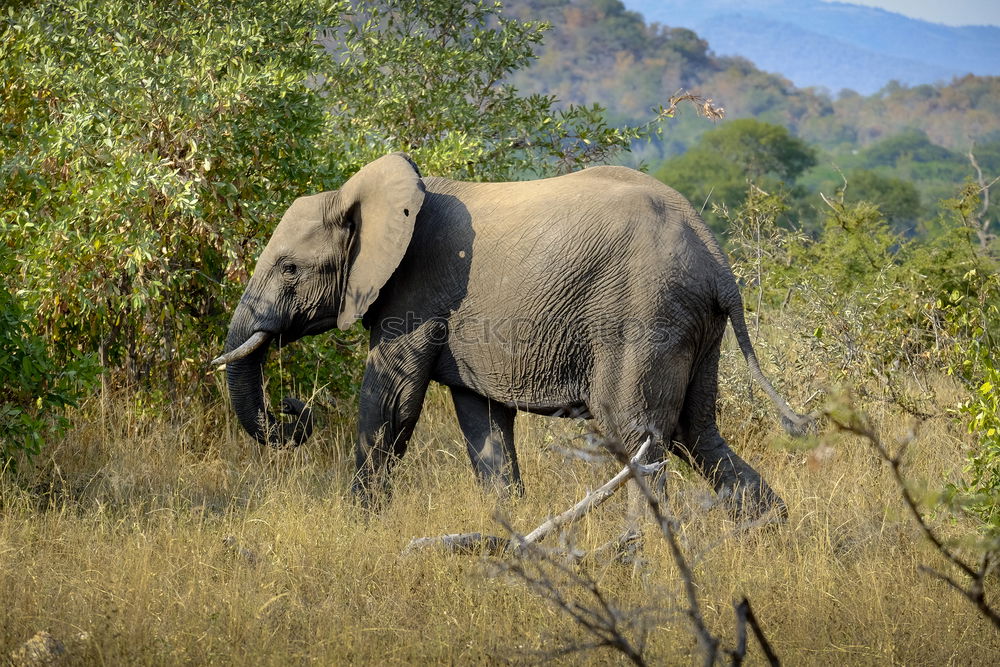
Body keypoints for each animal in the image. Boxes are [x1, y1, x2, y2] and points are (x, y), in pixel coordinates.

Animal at [215, 153, 808, 520]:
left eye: (290, 269)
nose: (294, 413)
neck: (358, 195)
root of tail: (719, 265)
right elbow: (482, 420)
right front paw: (510, 526)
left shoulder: (415, 295)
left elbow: (392, 401)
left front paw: (361, 524)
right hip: (694, 328)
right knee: (696, 431)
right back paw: (771, 534)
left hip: (644, 317)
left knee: (638, 433)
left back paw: (637, 557)